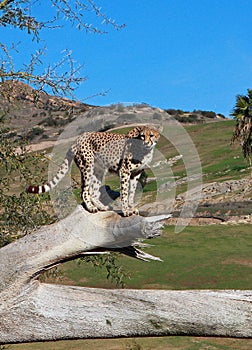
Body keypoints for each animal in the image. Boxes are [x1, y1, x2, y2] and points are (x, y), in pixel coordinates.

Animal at [27, 124, 159, 215]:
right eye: (142, 136)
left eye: (151, 135)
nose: (146, 142)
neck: (145, 151)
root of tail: (79, 138)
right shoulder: (125, 171)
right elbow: (125, 192)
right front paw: (126, 211)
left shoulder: (136, 173)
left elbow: (132, 192)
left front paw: (132, 208)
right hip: (87, 167)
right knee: (85, 191)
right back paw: (91, 207)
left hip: (98, 171)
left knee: (94, 192)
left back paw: (102, 207)